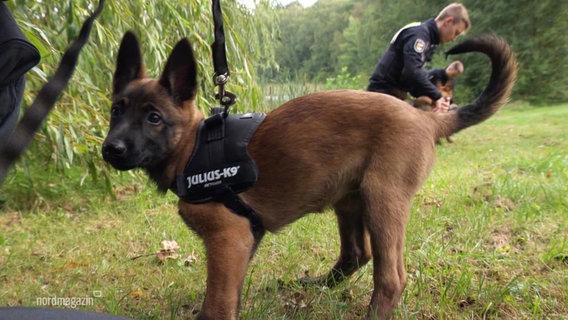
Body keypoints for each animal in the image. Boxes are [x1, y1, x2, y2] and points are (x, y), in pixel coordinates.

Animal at [100, 31, 516, 318]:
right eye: (116, 111)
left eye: (154, 118)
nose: (110, 149)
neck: (192, 147)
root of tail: (424, 117)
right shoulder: (243, 241)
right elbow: (228, 297)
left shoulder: (227, 239)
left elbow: (217, 304)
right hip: (350, 200)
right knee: (356, 254)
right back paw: (317, 285)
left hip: (383, 199)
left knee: (391, 277)